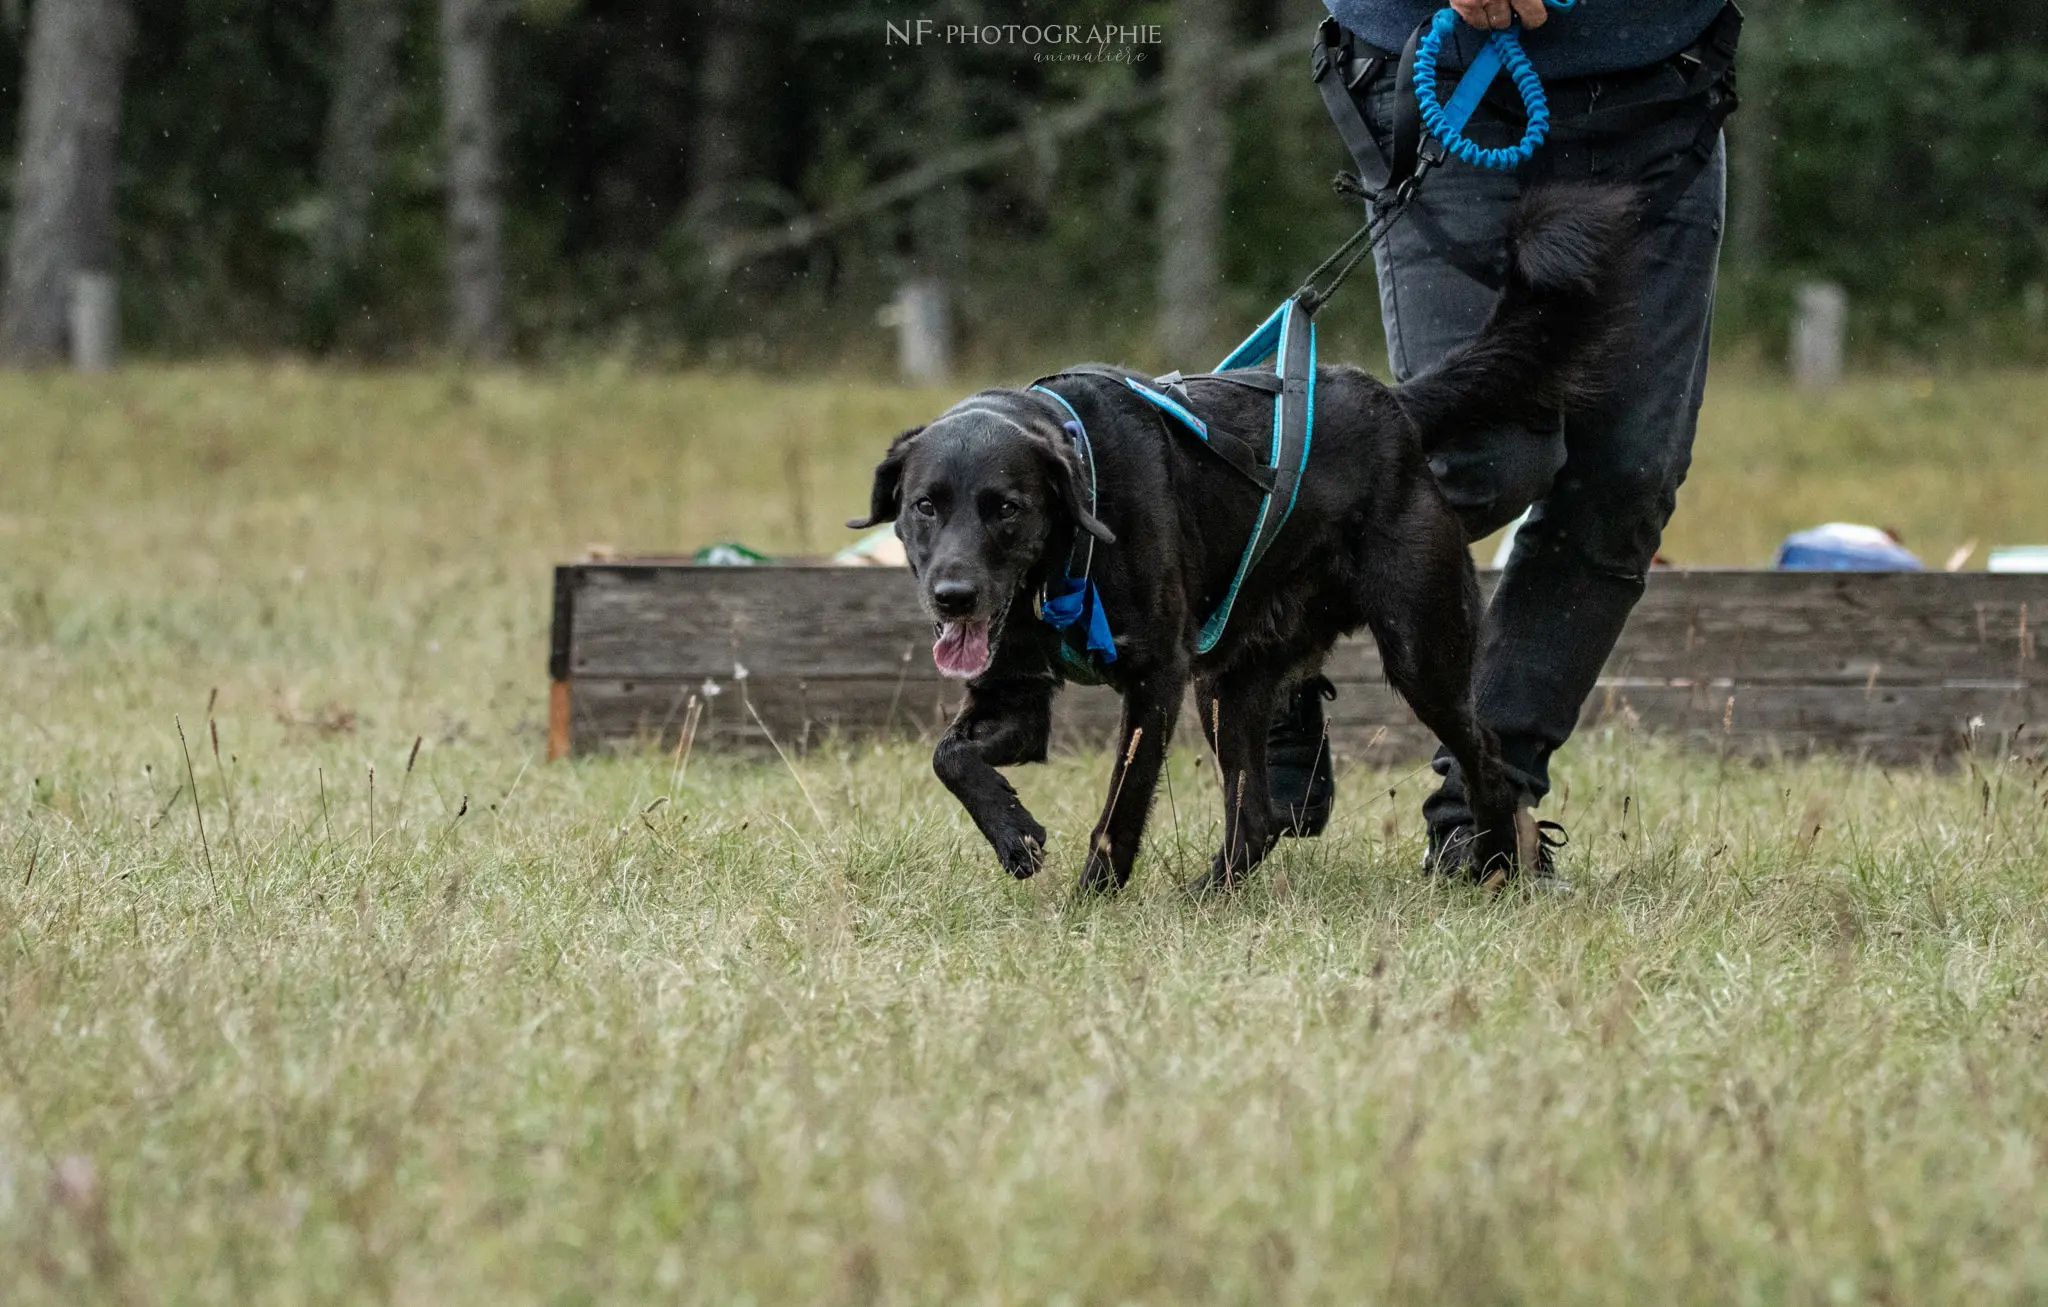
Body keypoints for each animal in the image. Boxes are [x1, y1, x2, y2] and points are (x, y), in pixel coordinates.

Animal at [847, 186, 1630, 901]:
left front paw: (1090, 900)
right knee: (1256, 815)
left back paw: (1500, 862)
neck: (1066, 549)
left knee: (1489, 763)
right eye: (924, 507)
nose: (953, 597)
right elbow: (949, 757)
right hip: (1229, 682)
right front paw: (1015, 834)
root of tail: (1394, 406)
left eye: (1006, 509)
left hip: (1420, 652)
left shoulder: (1155, 680)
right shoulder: (1015, 692)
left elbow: (1119, 811)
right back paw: (1209, 896)